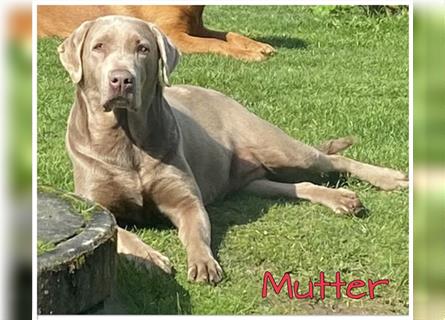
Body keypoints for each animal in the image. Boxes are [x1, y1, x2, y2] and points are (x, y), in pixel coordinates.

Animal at [57, 15, 408, 284]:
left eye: (143, 48)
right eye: (98, 47)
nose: (122, 79)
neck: (126, 140)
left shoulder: (186, 200)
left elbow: (197, 230)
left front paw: (203, 263)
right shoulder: (95, 205)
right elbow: (121, 233)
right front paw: (150, 257)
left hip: (278, 147)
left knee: (332, 159)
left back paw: (389, 178)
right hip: (254, 179)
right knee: (298, 185)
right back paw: (341, 199)